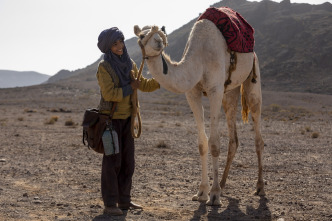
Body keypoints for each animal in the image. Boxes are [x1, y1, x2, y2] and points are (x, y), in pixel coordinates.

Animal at [134, 18, 266, 206]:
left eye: (161, 33)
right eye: (142, 35)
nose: (159, 42)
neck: (199, 60)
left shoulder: (215, 90)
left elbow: (214, 144)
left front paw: (215, 195)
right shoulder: (192, 93)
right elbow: (202, 144)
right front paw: (202, 192)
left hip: (253, 76)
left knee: (258, 135)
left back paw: (259, 186)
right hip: (230, 91)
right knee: (233, 137)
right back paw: (223, 183)